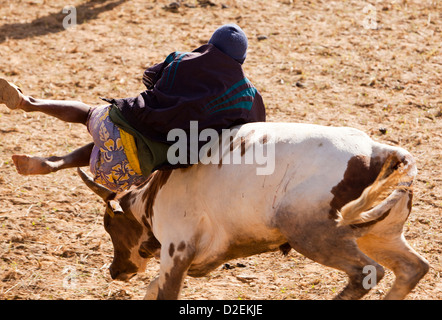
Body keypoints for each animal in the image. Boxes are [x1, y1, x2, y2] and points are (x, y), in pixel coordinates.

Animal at [77, 122, 430, 300]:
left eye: (110, 225)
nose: (115, 271)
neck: (153, 194)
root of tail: (382, 152)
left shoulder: (178, 250)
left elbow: (163, 291)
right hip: (380, 235)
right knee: (413, 268)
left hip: (311, 232)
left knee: (366, 273)